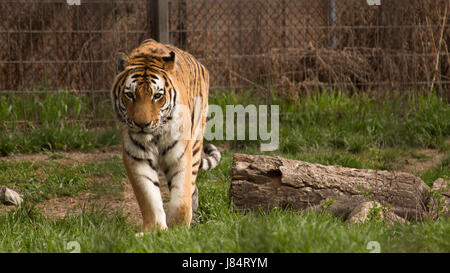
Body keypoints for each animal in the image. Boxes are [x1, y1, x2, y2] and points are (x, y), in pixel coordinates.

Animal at [110, 38, 220, 232]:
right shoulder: (137, 158)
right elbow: (149, 197)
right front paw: (155, 230)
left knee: (192, 185)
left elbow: (181, 198)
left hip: (196, 143)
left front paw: (179, 229)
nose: (142, 124)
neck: (155, 136)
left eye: (157, 95)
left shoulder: (181, 155)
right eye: (129, 95)